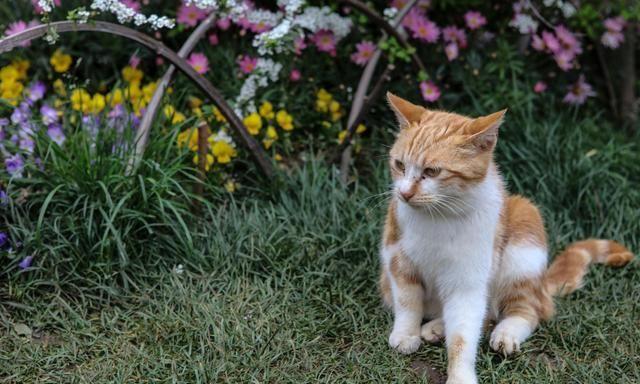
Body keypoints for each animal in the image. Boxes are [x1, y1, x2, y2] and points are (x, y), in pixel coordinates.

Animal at [378, 93, 632, 384]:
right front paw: (406, 333)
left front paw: (460, 374)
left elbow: (463, 335)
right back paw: (436, 326)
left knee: (527, 310)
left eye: (432, 172)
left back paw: (505, 332)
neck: (438, 217)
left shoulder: (468, 281)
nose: (405, 193)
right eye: (399, 165)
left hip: (524, 230)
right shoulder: (397, 258)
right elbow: (407, 302)